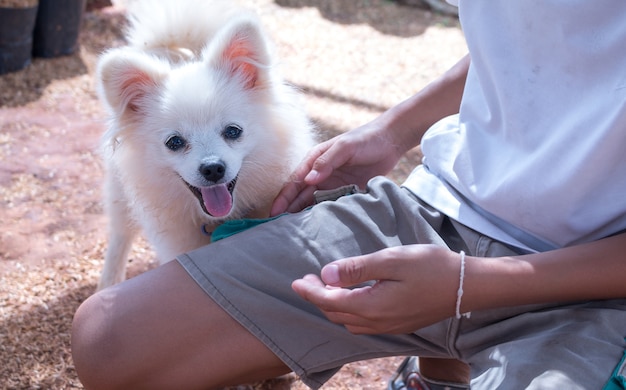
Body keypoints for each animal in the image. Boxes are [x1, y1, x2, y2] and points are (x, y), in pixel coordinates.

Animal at [97, 0, 314, 288]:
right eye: (174, 142)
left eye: (233, 131)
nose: (212, 168)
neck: (219, 220)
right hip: (119, 194)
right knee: (120, 236)